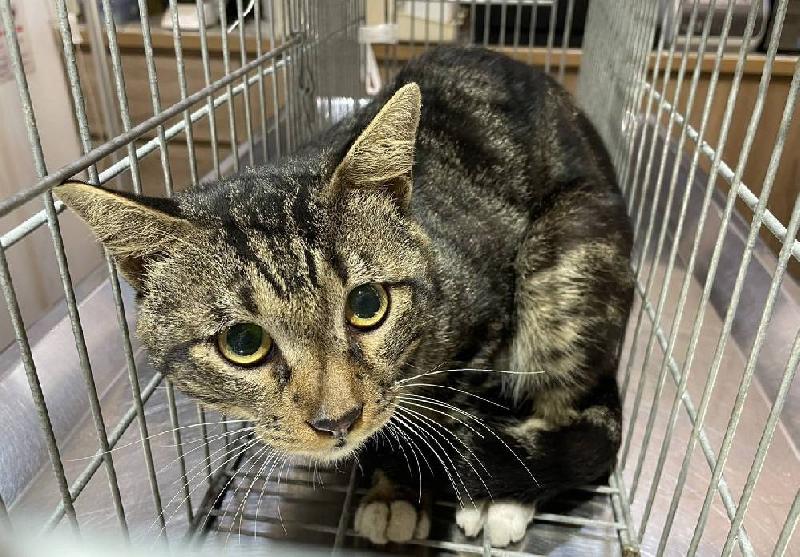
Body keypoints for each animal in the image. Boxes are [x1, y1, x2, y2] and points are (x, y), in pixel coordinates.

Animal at [55, 46, 633, 548]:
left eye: (368, 305)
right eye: (243, 342)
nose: (338, 420)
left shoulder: (486, 322)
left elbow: (436, 416)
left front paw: (409, 484)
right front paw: (391, 485)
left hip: (569, 251)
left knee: (572, 407)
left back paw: (507, 497)